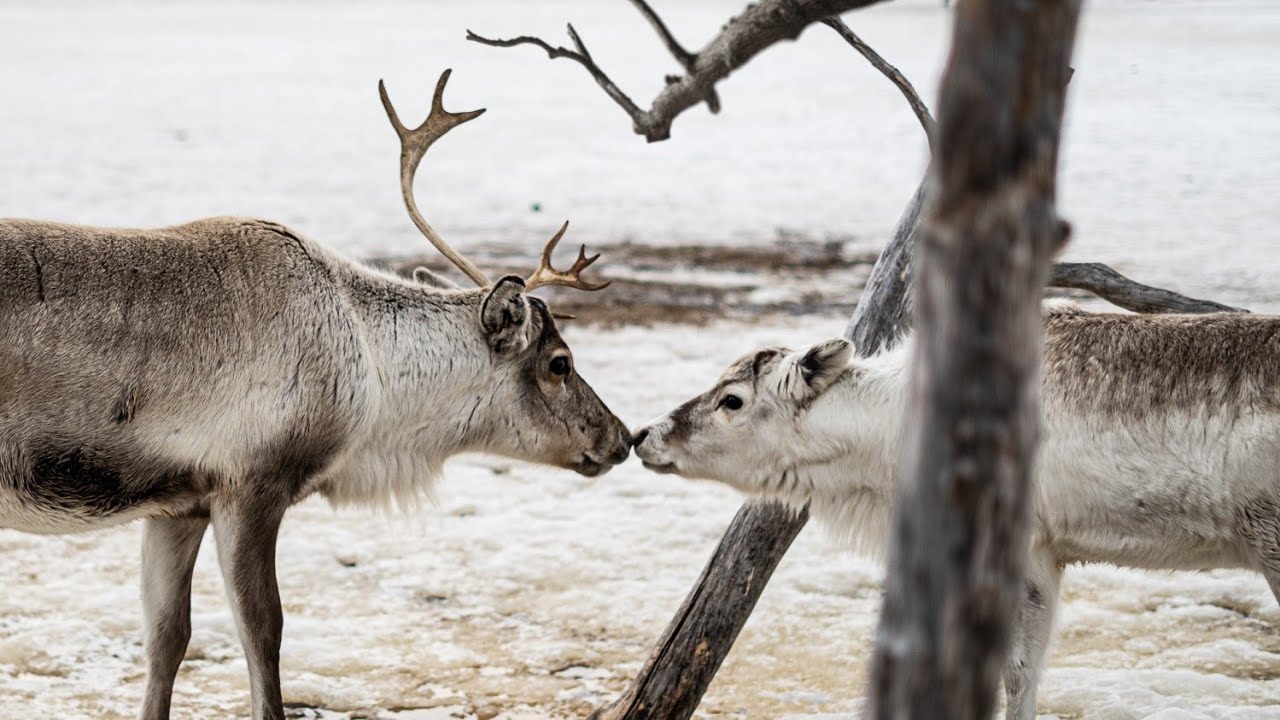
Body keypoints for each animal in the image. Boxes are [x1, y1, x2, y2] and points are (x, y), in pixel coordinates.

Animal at [0, 69, 631, 720]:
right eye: (559, 363)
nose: (622, 436)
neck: (372, 377)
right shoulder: (252, 484)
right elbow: (264, 634)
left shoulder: (178, 505)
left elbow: (166, 637)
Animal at [632, 302, 1280, 720]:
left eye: (731, 400)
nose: (644, 434)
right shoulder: (1050, 553)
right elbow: (1027, 668)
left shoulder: (1023, 544)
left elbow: (1013, 670)